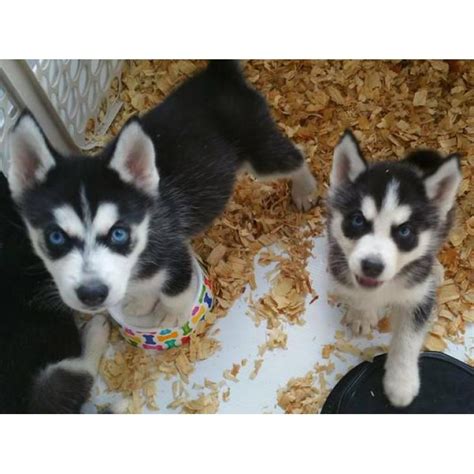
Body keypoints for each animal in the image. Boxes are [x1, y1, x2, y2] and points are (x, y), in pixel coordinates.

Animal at [6, 61, 314, 324]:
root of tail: (217, 76)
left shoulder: (174, 253)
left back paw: (306, 190)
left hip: (261, 153)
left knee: (297, 156)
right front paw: (141, 302)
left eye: (119, 233)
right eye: (55, 237)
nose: (92, 294)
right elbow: (142, 286)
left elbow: (174, 290)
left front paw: (172, 315)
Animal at [328, 131, 462, 408]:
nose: (372, 266)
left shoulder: (420, 295)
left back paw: (437, 268)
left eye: (405, 231)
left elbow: (408, 339)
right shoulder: (340, 265)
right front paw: (362, 314)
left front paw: (401, 382)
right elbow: (357, 294)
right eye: (357, 220)